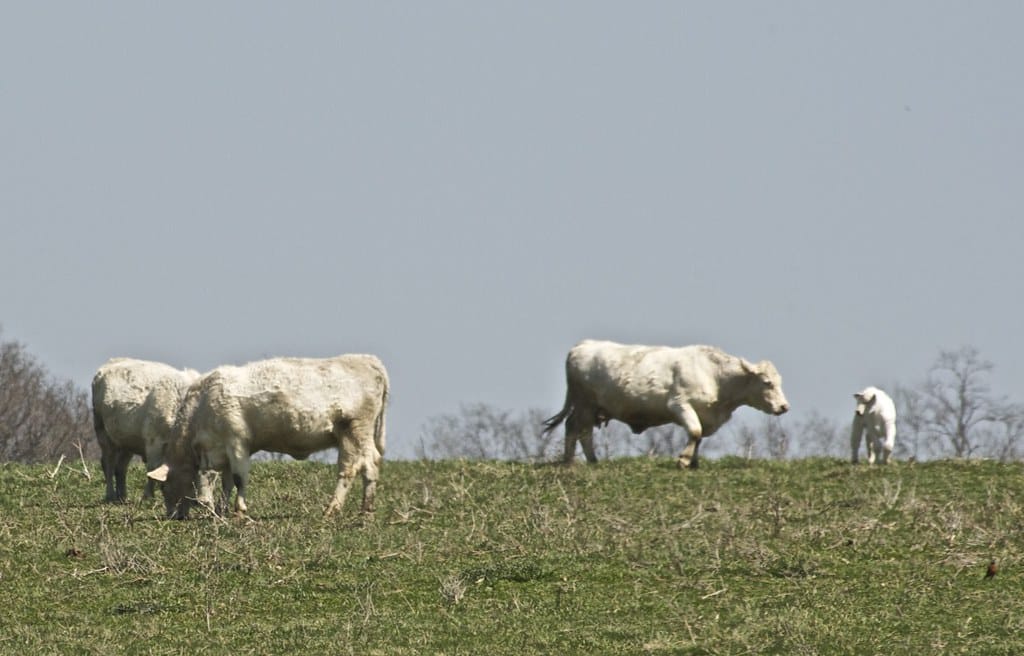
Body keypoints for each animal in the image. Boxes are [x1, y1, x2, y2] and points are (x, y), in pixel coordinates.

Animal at [91, 358, 201, 502]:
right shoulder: (154, 441)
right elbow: (152, 469)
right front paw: (148, 496)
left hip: (126, 441)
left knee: (120, 467)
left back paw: (123, 496)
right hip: (102, 432)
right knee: (108, 464)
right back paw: (111, 495)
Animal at [147, 354, 389, 519]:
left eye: (163, 487)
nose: (172, 516)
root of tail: (367, 360)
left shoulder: (237, 441)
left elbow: (238, 478)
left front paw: (239, 511)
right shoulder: (219, 449)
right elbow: (225, 481)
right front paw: (222, 509)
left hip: (355, 429)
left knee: (354, 467)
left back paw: (336, 509)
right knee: (370, 464)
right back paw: (365, 510)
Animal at [542, 340, 790, 469]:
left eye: (779, 381)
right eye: (767, 383)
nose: (784, 407)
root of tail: (584, 344)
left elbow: (699, 436)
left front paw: (693, 462)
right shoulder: (680, 404)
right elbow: (695, 431)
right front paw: (683, 460)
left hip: (590, 407)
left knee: (575, 427)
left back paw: (578, 461)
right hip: (585, 404)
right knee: (580, 430)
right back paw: (581, 461)